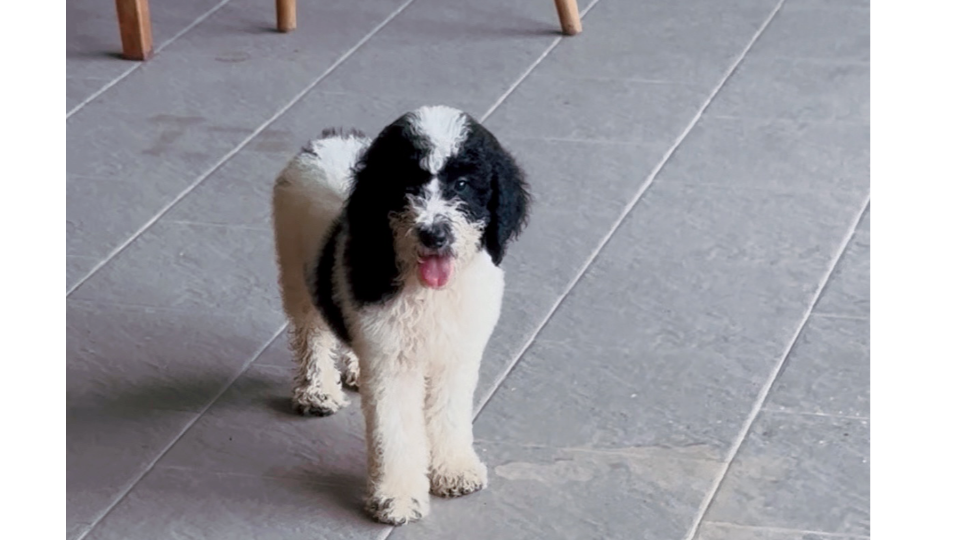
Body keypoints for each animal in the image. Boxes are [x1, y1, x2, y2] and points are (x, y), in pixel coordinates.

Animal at [272, 106, 530, 525]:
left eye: (462, 184)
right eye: (406, 185)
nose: (433, 234)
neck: (428, 290)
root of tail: (330, 138)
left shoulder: (457, 355)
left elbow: (449, 414)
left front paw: (453, 470)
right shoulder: (390, 362)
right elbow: (395, 430)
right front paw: (397, 497)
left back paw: (351, 368)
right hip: (297, 273)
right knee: (311, 331)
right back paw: (317, 389)